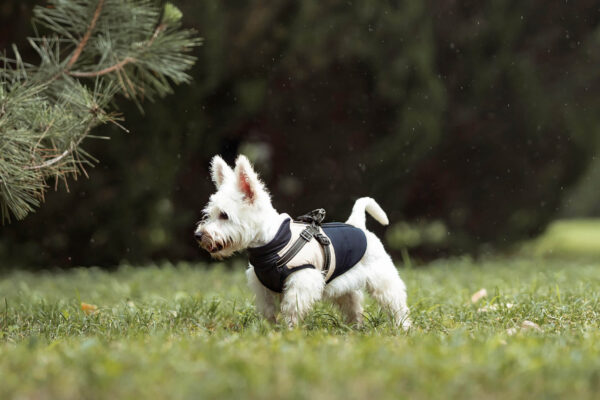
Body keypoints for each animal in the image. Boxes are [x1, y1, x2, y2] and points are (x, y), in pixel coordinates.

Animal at [195, 155, 410, 330]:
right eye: (208, 214)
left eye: (224, 215)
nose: (198, 235)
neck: (271, 243)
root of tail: (357, 224)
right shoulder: (262, 287)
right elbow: (267, 311)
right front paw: (269, 330)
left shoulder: (302, 280)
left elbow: (291, 308)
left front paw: (290, 331)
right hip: (345, 287)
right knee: (354, 307)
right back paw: (354, 329)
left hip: (383, 279)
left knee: (397, 304)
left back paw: (403, 327)